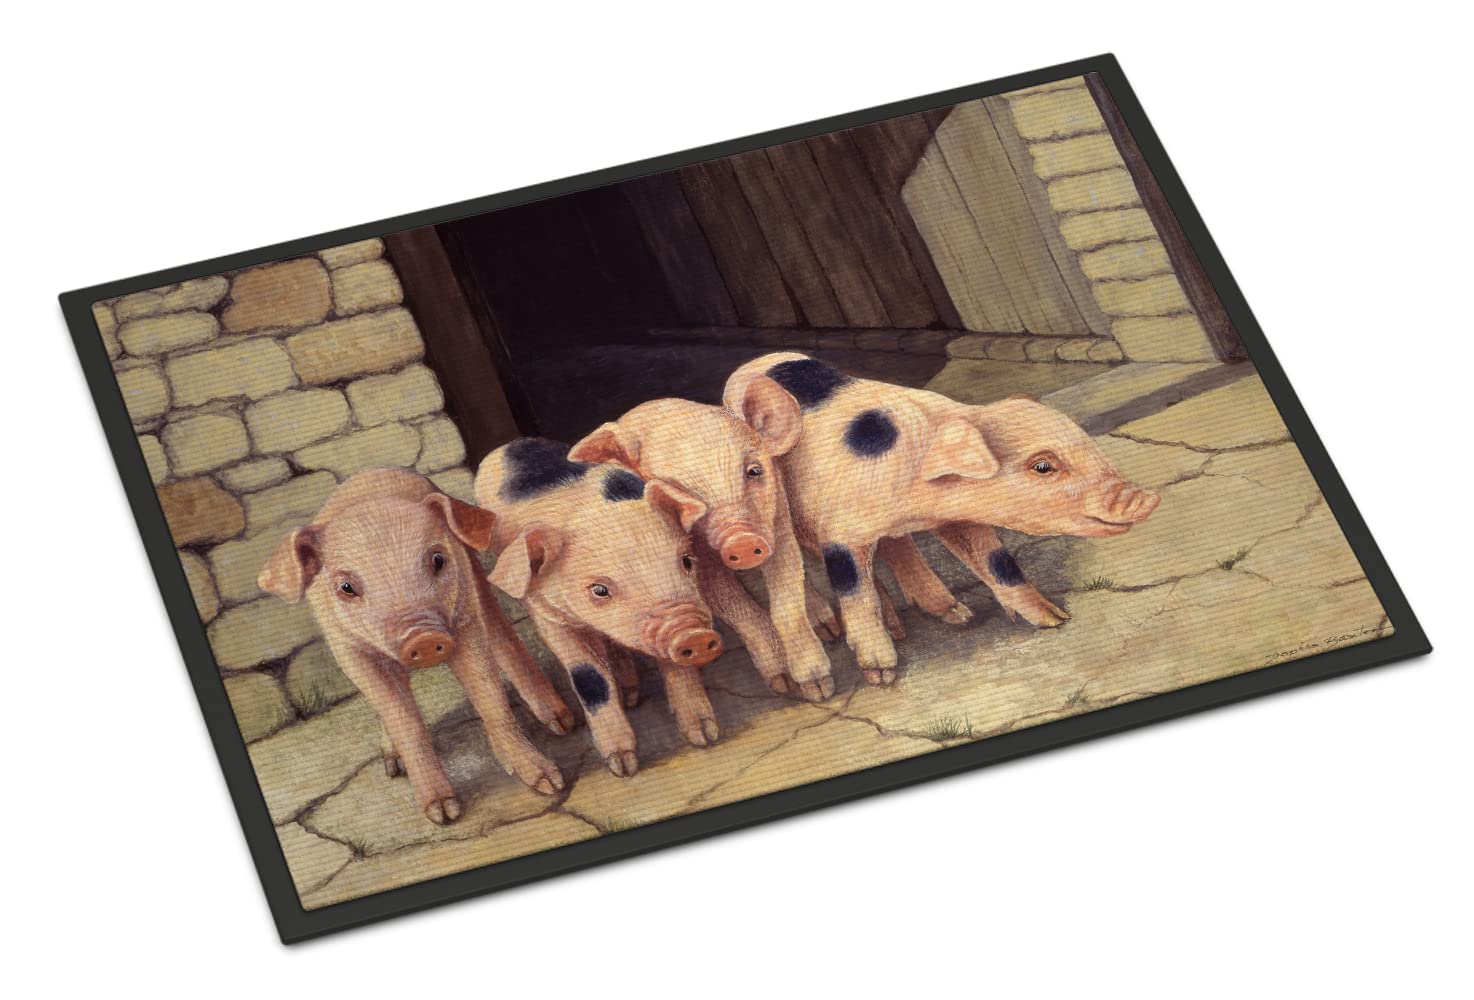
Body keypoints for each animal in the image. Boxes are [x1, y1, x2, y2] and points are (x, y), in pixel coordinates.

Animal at [257, 469, 572, 825]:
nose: (423, 637)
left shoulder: (464, 620)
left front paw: (550, 783)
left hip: (476, 577)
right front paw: (442, 814)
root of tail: (369, 472)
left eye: (438, 559)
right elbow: (403, 718)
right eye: (346, 587)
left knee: (503, 637)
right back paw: (393, 766)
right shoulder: (348, 650)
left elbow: (490, 697)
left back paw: (563, 724)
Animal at [475, 438, 724, 776]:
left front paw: (705, 736)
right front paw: (623, 767)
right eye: (600, 590)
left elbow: (672, 663)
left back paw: (631, 694)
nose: (694, 635)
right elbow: (590, 679)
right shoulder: (546, 614)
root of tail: (513, 443)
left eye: (686, 561)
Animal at [568, 377, 837, 701]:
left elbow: (786, 599)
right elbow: (734, 605)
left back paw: (830, 630)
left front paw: (819, 690)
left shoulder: (778, 519)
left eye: (754, 470)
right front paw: (782, 683)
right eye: (682, 492)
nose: (743, 541)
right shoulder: (693, 556)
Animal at [723, 353, 1161, 684]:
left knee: (897, 547)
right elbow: (855, 593)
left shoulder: (957, 518)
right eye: (1042, 466)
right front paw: (881, 675)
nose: (1145, 497)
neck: (918, 496)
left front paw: (1055, 620)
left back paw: (954, 616)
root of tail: (749, 364)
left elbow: (999, 563)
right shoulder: (841, 532)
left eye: (1087, 443)